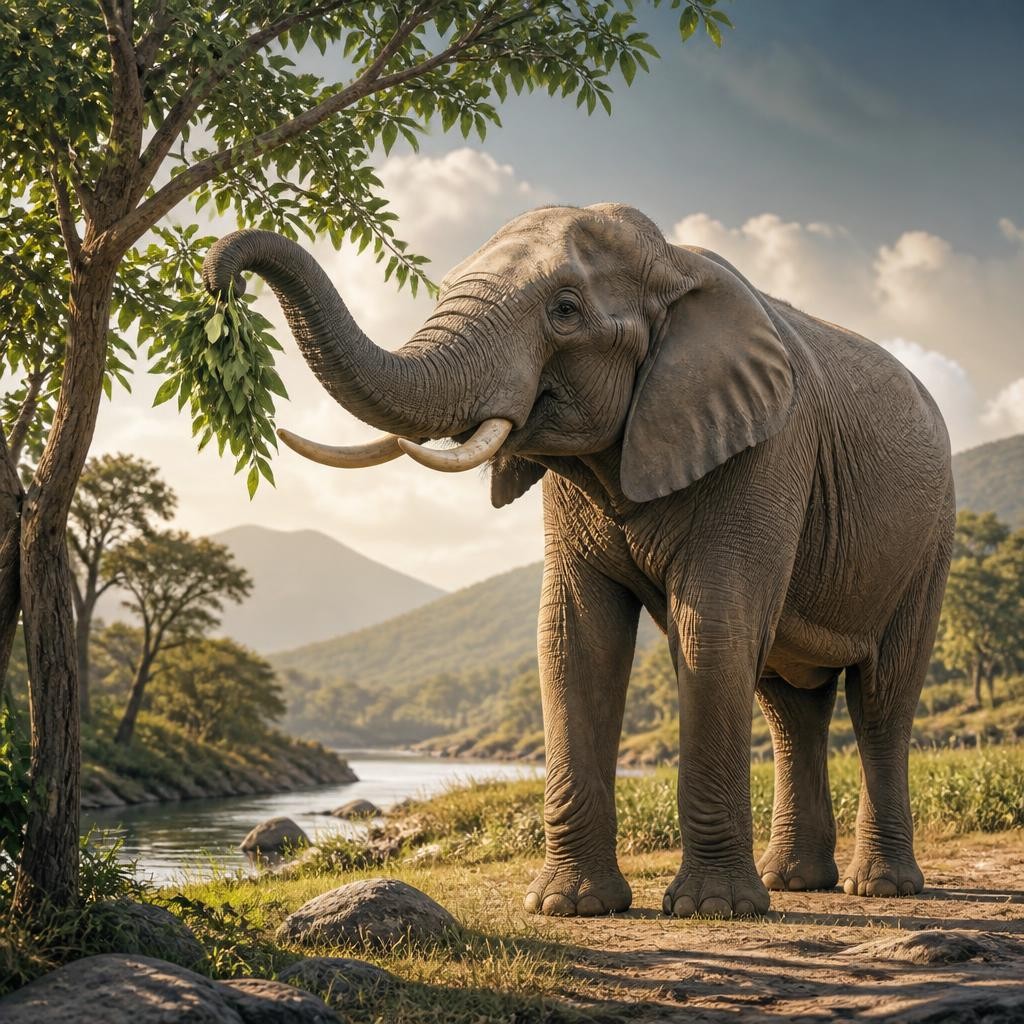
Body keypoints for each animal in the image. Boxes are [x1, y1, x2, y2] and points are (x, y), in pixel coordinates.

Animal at [203, 203, 954, 918]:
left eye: (564, 310)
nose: (220, 283)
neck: (673, 264)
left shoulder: (768, 447)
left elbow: (711, 630)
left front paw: (711, 908)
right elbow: (575, 638)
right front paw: (570, 906)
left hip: (931, 538)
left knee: (881, 696)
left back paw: (878, 888)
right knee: (789, 704)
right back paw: (794, 882)